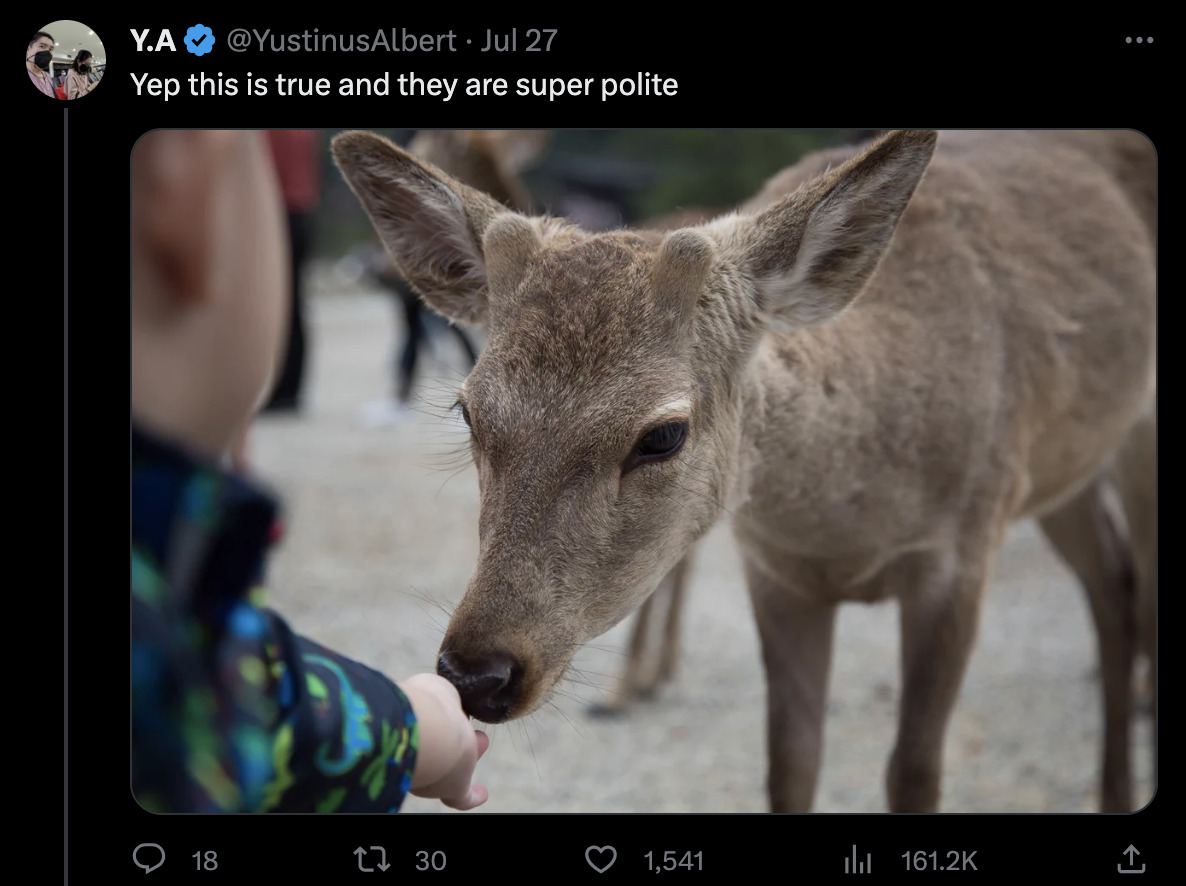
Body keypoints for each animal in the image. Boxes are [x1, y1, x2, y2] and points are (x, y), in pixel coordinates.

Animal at [334, 128, 1157, 816]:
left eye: (663, 435)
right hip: (1063, 473)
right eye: (468, 410)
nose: (477, 673)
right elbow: (789, 765)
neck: (847, 517)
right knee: (1112, 582)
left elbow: (915, 773)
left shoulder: (961, 551)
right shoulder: (777, 570)